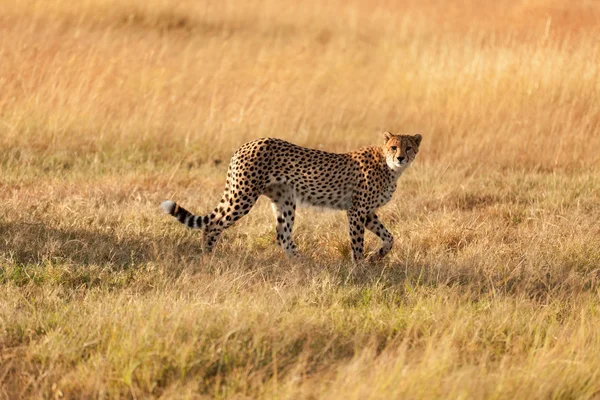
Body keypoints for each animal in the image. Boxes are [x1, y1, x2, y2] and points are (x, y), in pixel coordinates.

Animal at [161, 132, 422, 262]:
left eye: (408, 147)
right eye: (393, 147)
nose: (401, 157)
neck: (389, 168)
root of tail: (246, 145)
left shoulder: (367, 212)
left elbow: (390, 238)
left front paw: (376, 258)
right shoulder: (357, 211)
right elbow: (357, 243)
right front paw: (359, 268)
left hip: (284, 200)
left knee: (282, 235)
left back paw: (302, 263)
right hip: (243, 196)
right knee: (213, 224)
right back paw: (209, 257)